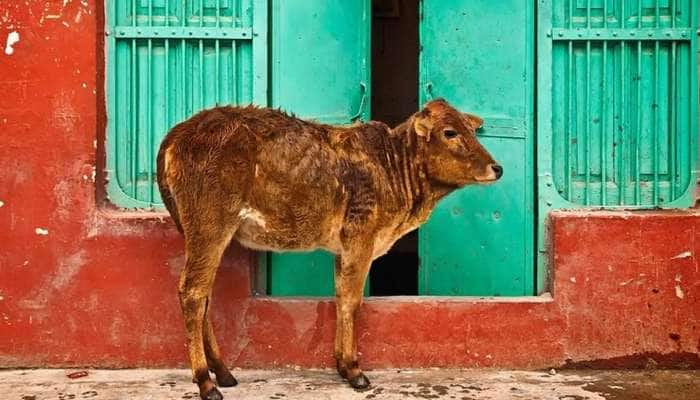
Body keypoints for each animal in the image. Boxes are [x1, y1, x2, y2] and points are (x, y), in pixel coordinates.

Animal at [156, 97, 500, 400]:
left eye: (471, 129)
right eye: (450, 132)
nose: (497, 168)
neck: (394, 169)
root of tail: (178, 133)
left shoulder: (343, 248)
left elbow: (339, 296)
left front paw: (341, 365)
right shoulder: (361, 238)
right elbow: (351, 301)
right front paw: (354, 370)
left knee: (205, 296)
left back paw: (224, 372)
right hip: (210, 226)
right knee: (192, 293)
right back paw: (206, 382)